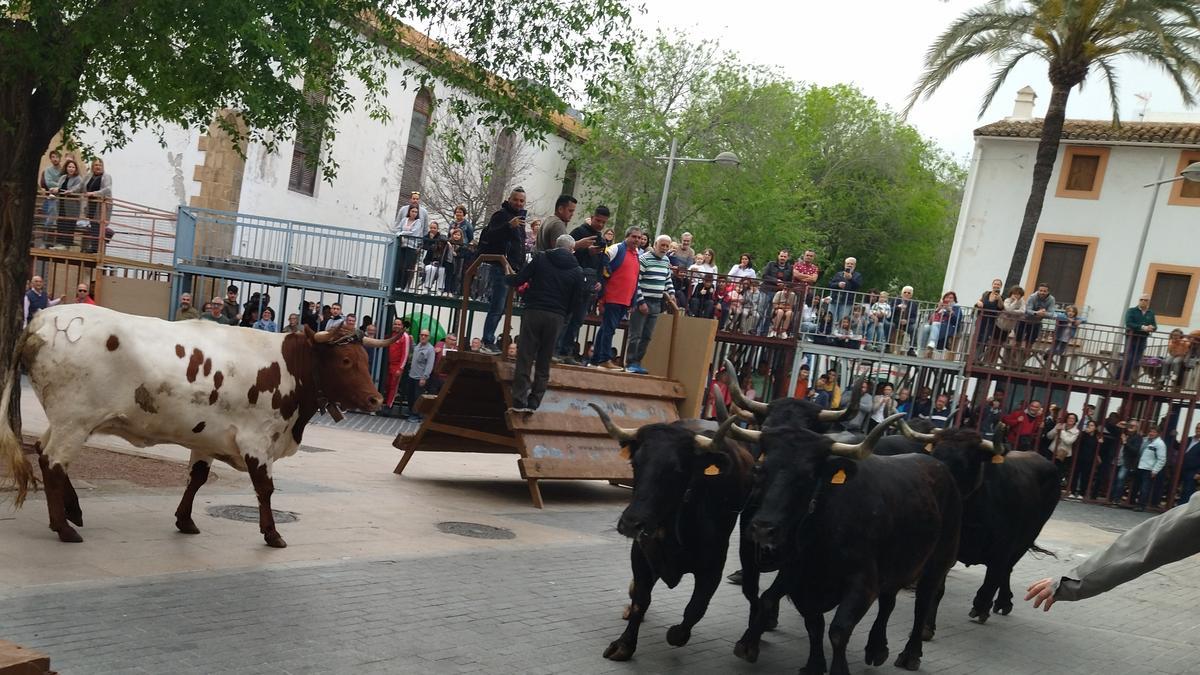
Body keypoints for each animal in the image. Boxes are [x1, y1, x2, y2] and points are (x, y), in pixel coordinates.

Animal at [0, 305, 384, 547]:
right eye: (346, 361)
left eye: (365, 359)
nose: (376, 399)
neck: (289, 366)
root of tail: (43, 318)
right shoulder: (257, 441)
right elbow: (265, 490)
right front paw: (272, 533)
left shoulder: (208, 438)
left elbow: (196, 479)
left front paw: (184, 520)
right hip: (75, 420)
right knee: (52, 462)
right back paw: (64, 527)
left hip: (65, 420)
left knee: (43, 452)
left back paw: (71, 512)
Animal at [588, 401, 753, 658]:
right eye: (635, 463)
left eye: (677, 470)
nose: (631, 523)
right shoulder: (641, 553)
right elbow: (641, 599)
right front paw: (624, 644)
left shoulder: (714, 566)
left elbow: (695, 608)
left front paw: (677, 633)